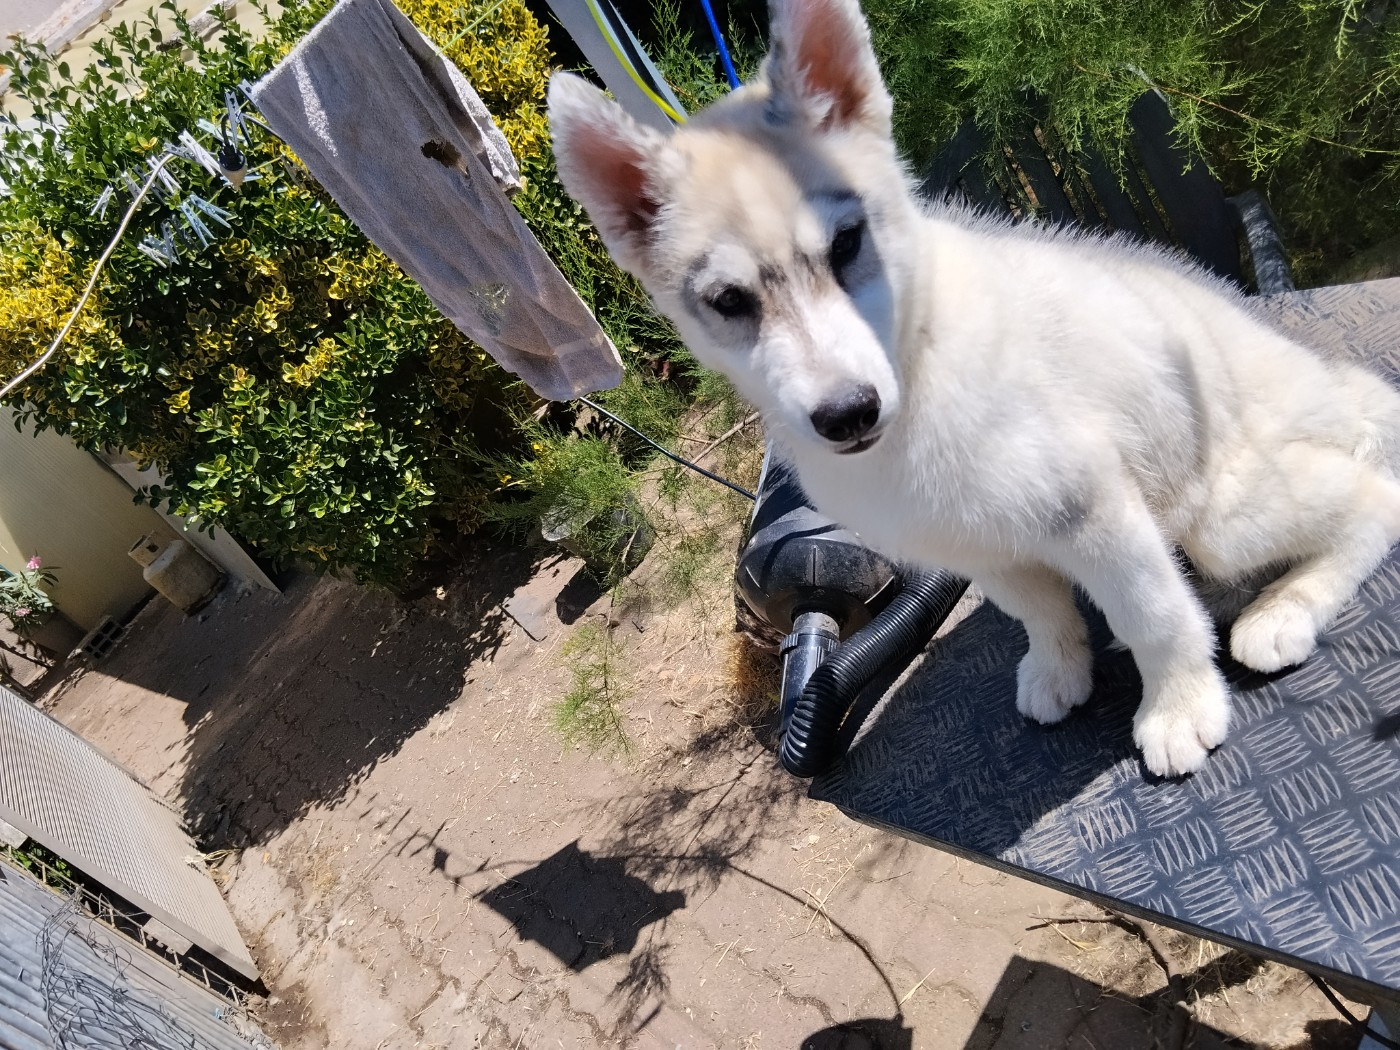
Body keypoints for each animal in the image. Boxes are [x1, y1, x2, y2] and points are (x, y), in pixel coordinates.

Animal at [545, 0, 1400, 776]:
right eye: (729, 301)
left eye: (847, 243)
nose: (847, 414)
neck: (920, 373)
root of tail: (1327, 381)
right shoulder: (976, 541)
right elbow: (1041, 611)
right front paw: (1060, 668)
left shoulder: (1094, 508)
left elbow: (1154, 613)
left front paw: (1179, 707)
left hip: (1223, 512)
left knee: (1373, 497)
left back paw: (1283, 610)